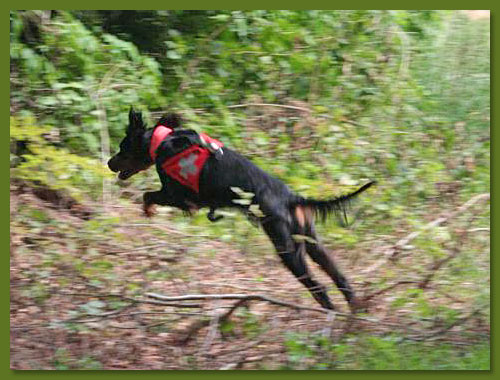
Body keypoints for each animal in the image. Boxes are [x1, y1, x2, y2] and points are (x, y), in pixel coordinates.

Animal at [109, 108, 376, 310]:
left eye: (123, 148)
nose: (110, 163)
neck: (163, 142)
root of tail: (292, 198)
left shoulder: (182, 197)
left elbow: (147, 195)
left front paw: (148, 211)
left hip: (287, 248)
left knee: (318, 287)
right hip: (311, 241)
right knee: (339, 277)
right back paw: (355, 313)